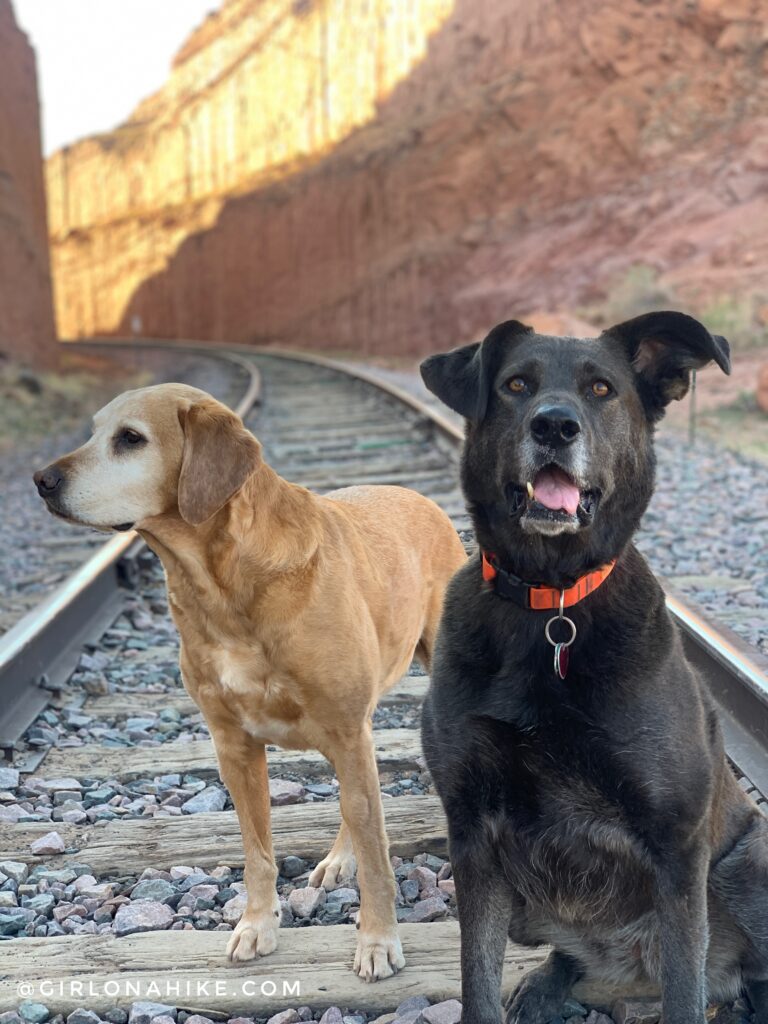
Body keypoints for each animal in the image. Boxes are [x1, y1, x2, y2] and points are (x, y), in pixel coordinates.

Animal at [421, 311, 768, 1024]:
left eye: (602, 389)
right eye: (516, 384)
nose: (554, 425)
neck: (552, 603)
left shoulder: (677, 843)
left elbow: (685, 993)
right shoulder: (472, 834)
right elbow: (477, 978)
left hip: (750, 862)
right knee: (569, 956)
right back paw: (546, 983)